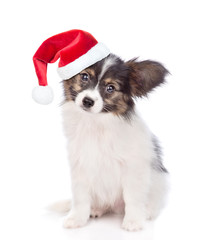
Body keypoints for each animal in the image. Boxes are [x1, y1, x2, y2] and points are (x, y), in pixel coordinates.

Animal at [59, 53, 169, 231]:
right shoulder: (81, 166)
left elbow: (132, 197)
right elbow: (81, 197)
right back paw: (96, 209)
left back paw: (146, 212)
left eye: (110, 88)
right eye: (84, 77)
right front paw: (77, 218)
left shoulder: (133, 169)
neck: (97, 123)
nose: (87, 101)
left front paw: (133, 221)